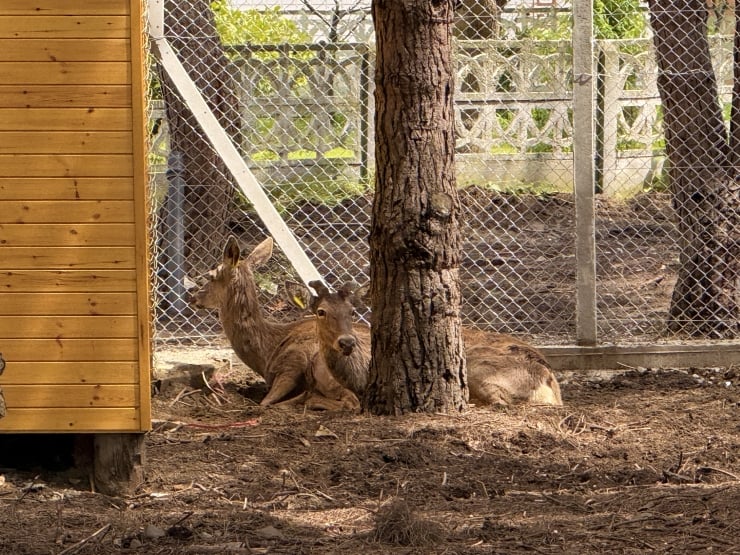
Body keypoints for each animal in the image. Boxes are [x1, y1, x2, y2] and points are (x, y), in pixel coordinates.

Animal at [188, 235, 359, 411]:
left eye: (211, 276)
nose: (193, 297)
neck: (266, 353)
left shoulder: (293, 363)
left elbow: (264, 403)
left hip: (324, 368)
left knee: (350, 402)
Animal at [289, 280, 562, 407]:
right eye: (321, 311)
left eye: (352, 311)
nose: (346, 342)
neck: (360, 378)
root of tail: (549, 380)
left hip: (478, 367)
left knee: (498, 401)